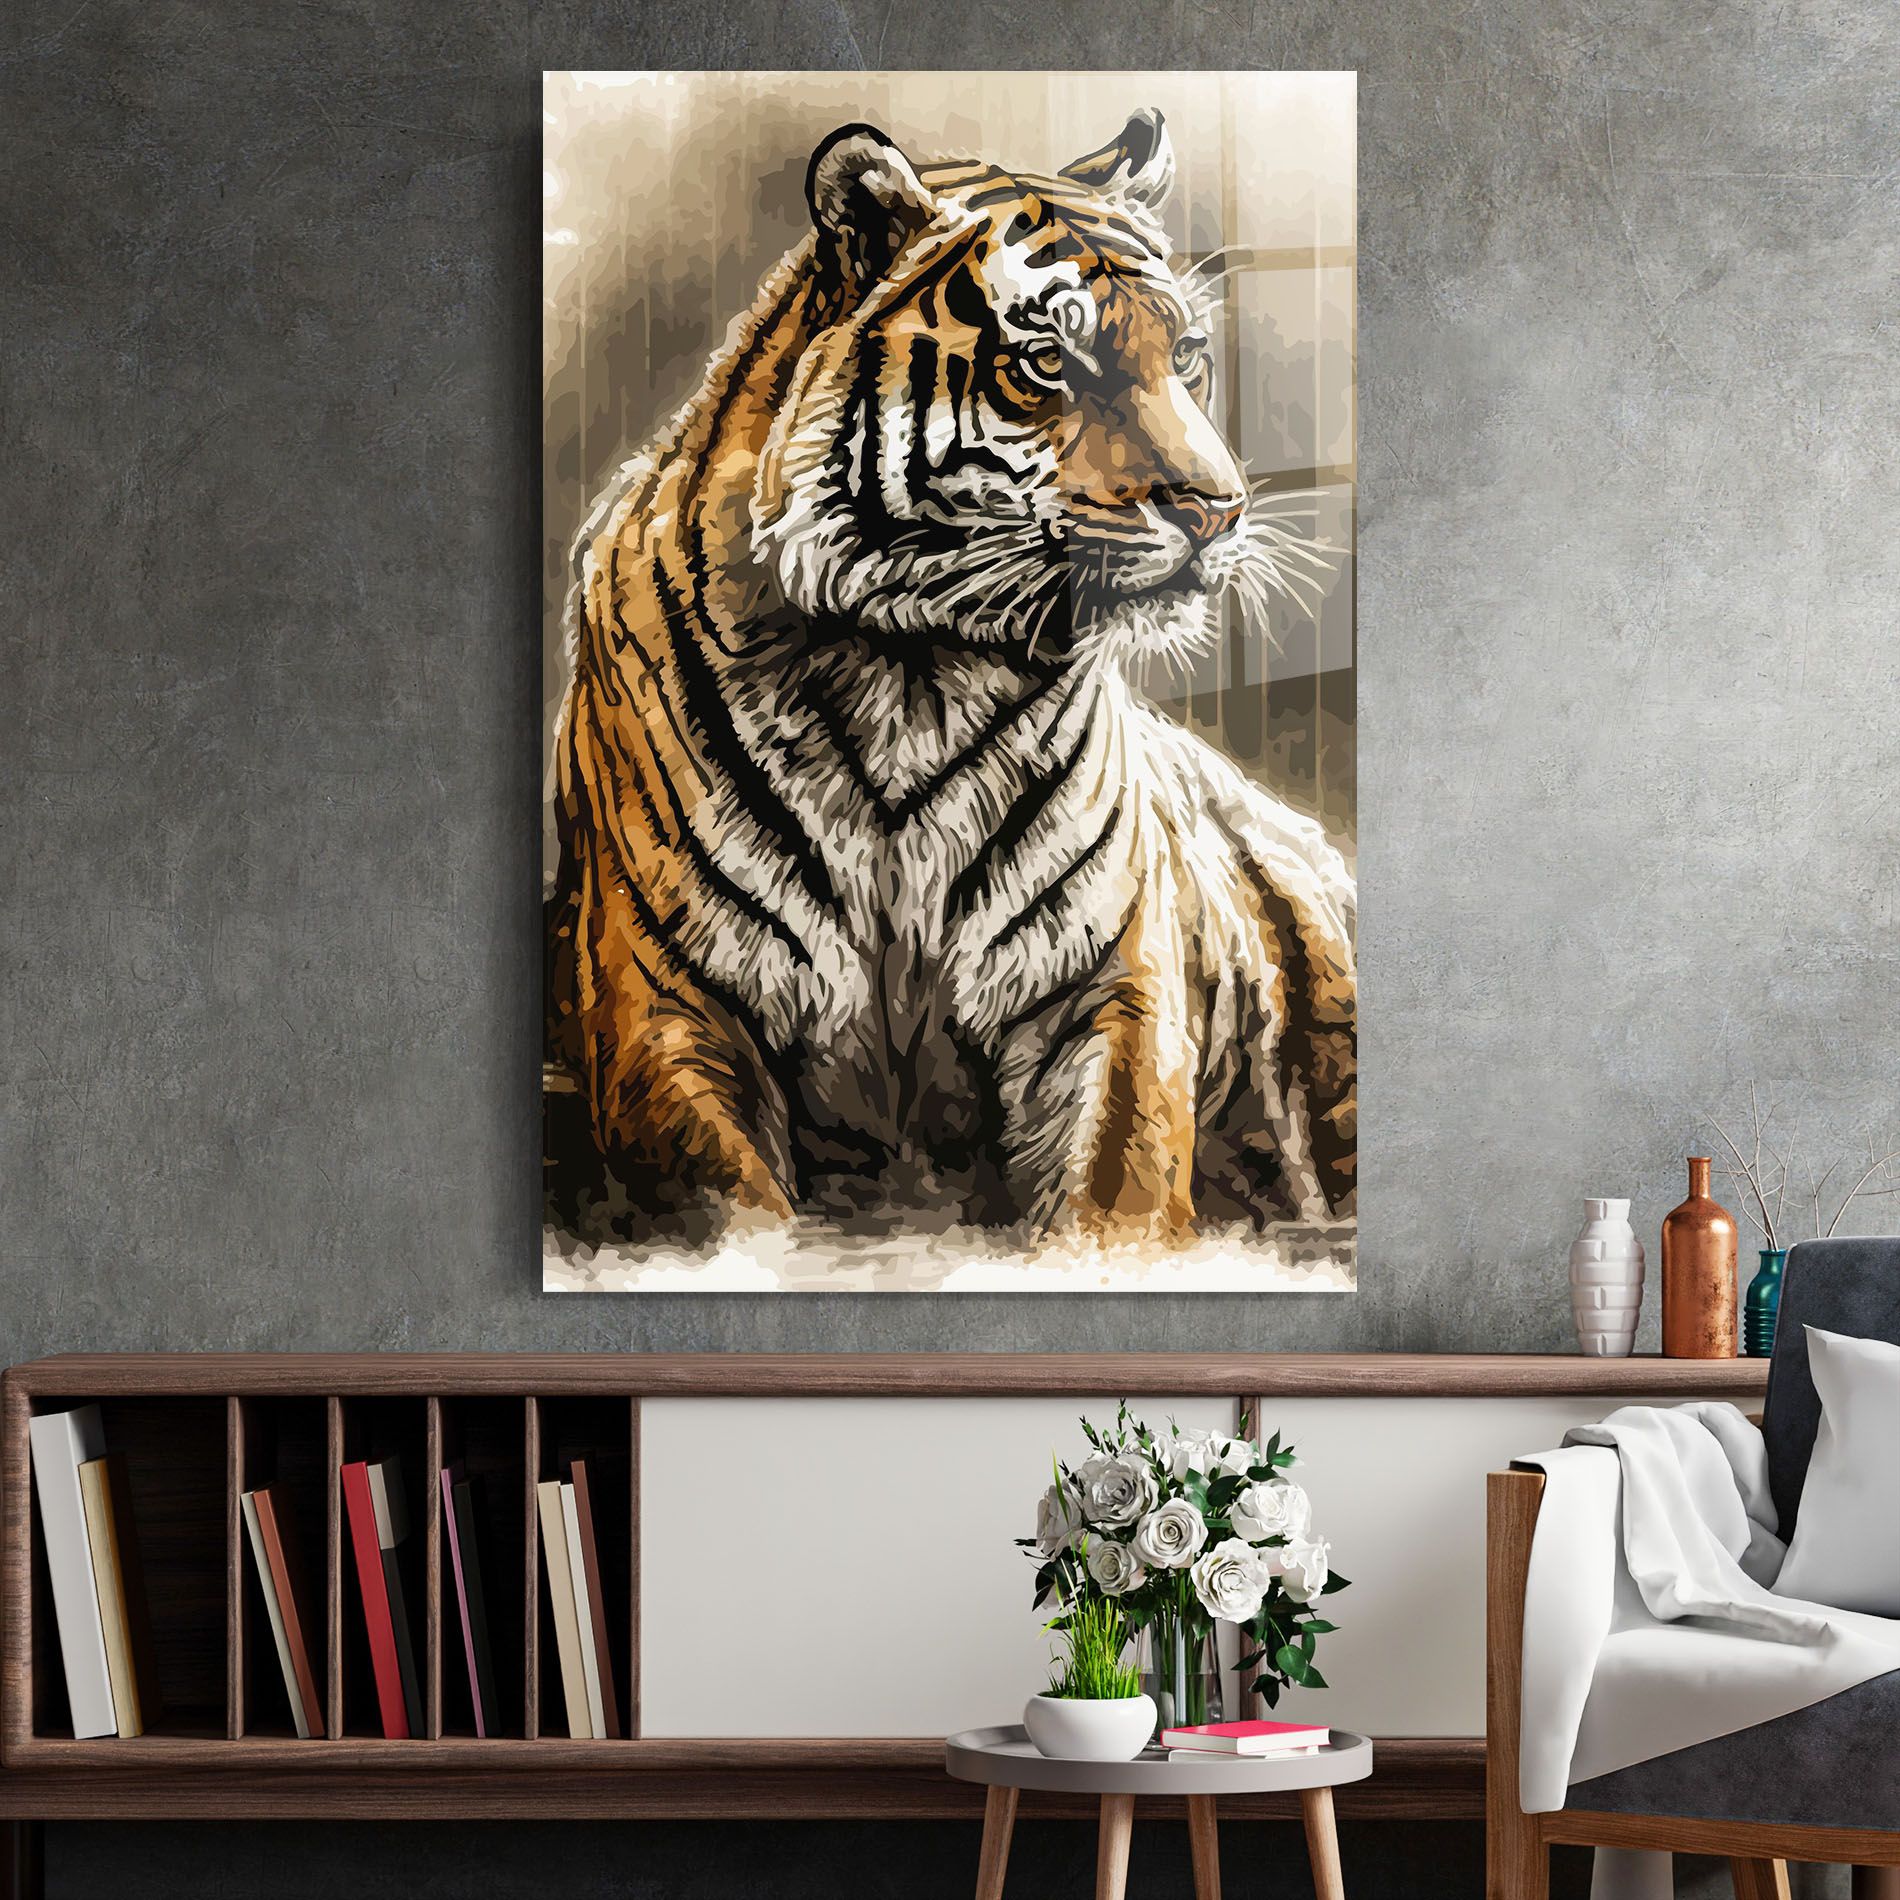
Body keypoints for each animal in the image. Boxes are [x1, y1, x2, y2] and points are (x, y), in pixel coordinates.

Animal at [544, 107, 1356, 1252]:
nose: (1218, 508)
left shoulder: (1110, 987)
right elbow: (735, 1215)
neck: (908, 670)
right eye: (1048, 361)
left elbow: (1113, 1193)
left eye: (1189, 354)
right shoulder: (663, 1002)